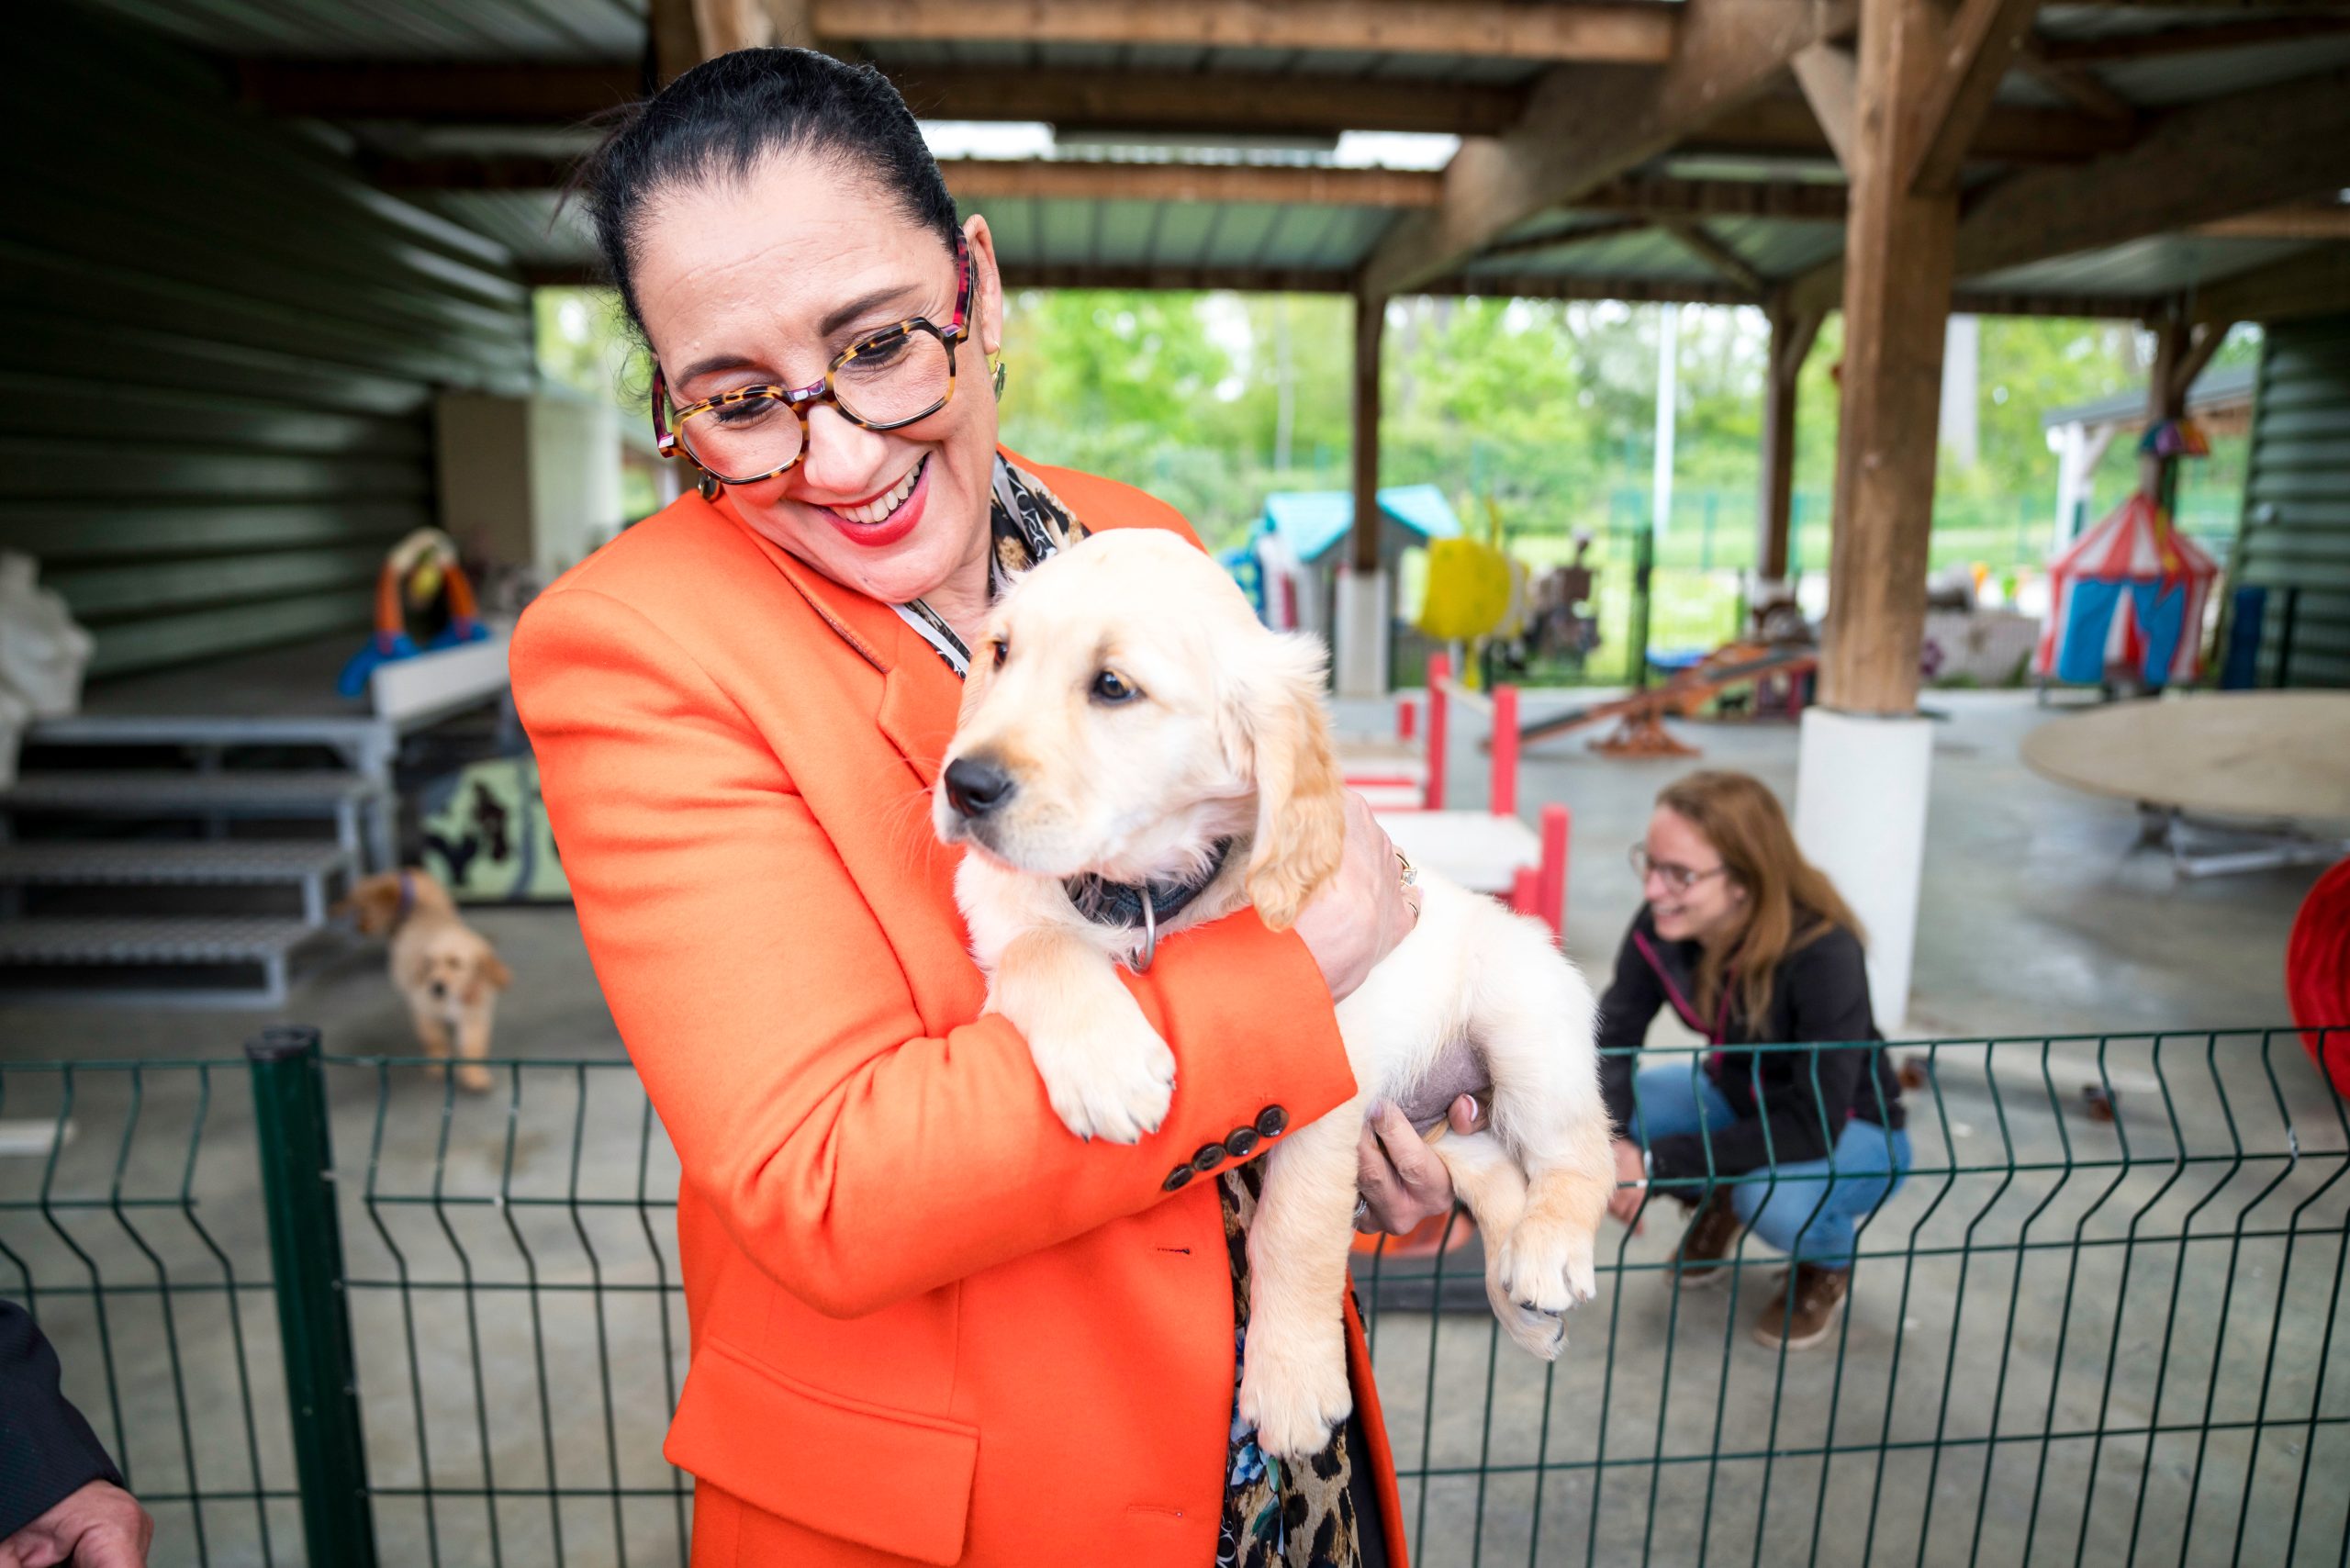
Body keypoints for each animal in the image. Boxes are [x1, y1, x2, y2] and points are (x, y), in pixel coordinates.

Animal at [336, 869, 505, 1091]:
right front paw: (439, 1066)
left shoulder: (474, 1016)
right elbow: (435, 1041)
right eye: (429, 964)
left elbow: (473, 1048)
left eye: (456, 964)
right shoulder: (426, 1014)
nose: (436, 987)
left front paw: (475, 1075)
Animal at [934, 531, 1617, 1457]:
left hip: (1526, 1029)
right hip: (1437, 1121)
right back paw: (1522, 1302)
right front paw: (1107, 1064)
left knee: (1579, 1155)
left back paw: (1545, 1255)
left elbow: (1296, 1229)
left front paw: (1292, 1385)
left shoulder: (1331, 1079)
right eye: (1000, 653)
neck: (1143, 893)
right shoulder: (1002, 919)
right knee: (1494, 1168)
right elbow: (1040, 945)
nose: (963, 785)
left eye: (1113, 686)